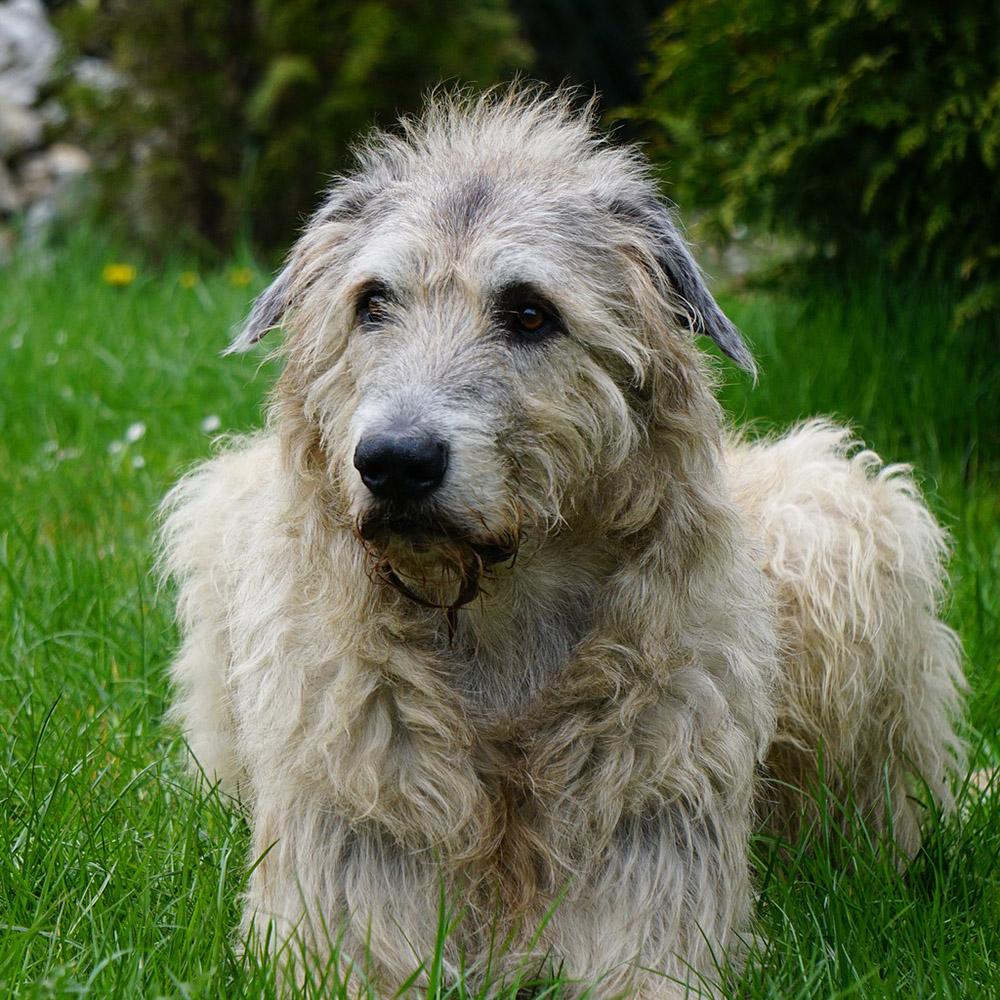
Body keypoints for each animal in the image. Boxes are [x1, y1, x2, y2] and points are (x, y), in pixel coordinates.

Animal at [160, 90, 964, 996]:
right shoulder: (339, 887)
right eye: (371, 302)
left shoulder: (658, 870)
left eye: (529, 312)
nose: (395, 462)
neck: (494, 619)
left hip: (843, 525)